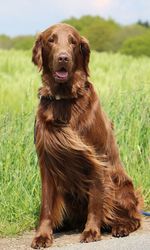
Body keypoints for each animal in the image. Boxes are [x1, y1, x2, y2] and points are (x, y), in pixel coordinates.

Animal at [31, 23, 142, 248]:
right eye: (51, 40)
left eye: (73, 42)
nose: (63, 58)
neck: (65, 100)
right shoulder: (46, 160)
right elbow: (46, 205)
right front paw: (42, 235)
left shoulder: (97, 157)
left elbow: (96, 200)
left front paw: (91, 231)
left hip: (119, 185)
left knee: (134, 217)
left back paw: (121, 227)